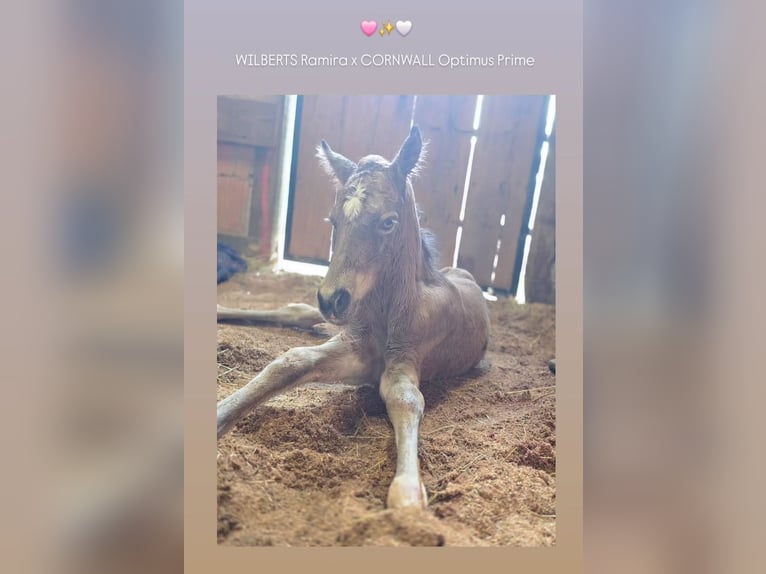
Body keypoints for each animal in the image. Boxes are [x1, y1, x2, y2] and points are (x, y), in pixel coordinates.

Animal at [217, 126, 491, 509]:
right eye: (334, 220)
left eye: (388, 222)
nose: (332, 298)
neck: (390, 310)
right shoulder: (355, 345)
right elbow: (291, 360)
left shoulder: (397, 361)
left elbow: (404, 397)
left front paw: (408, 499)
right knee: (300, 312)